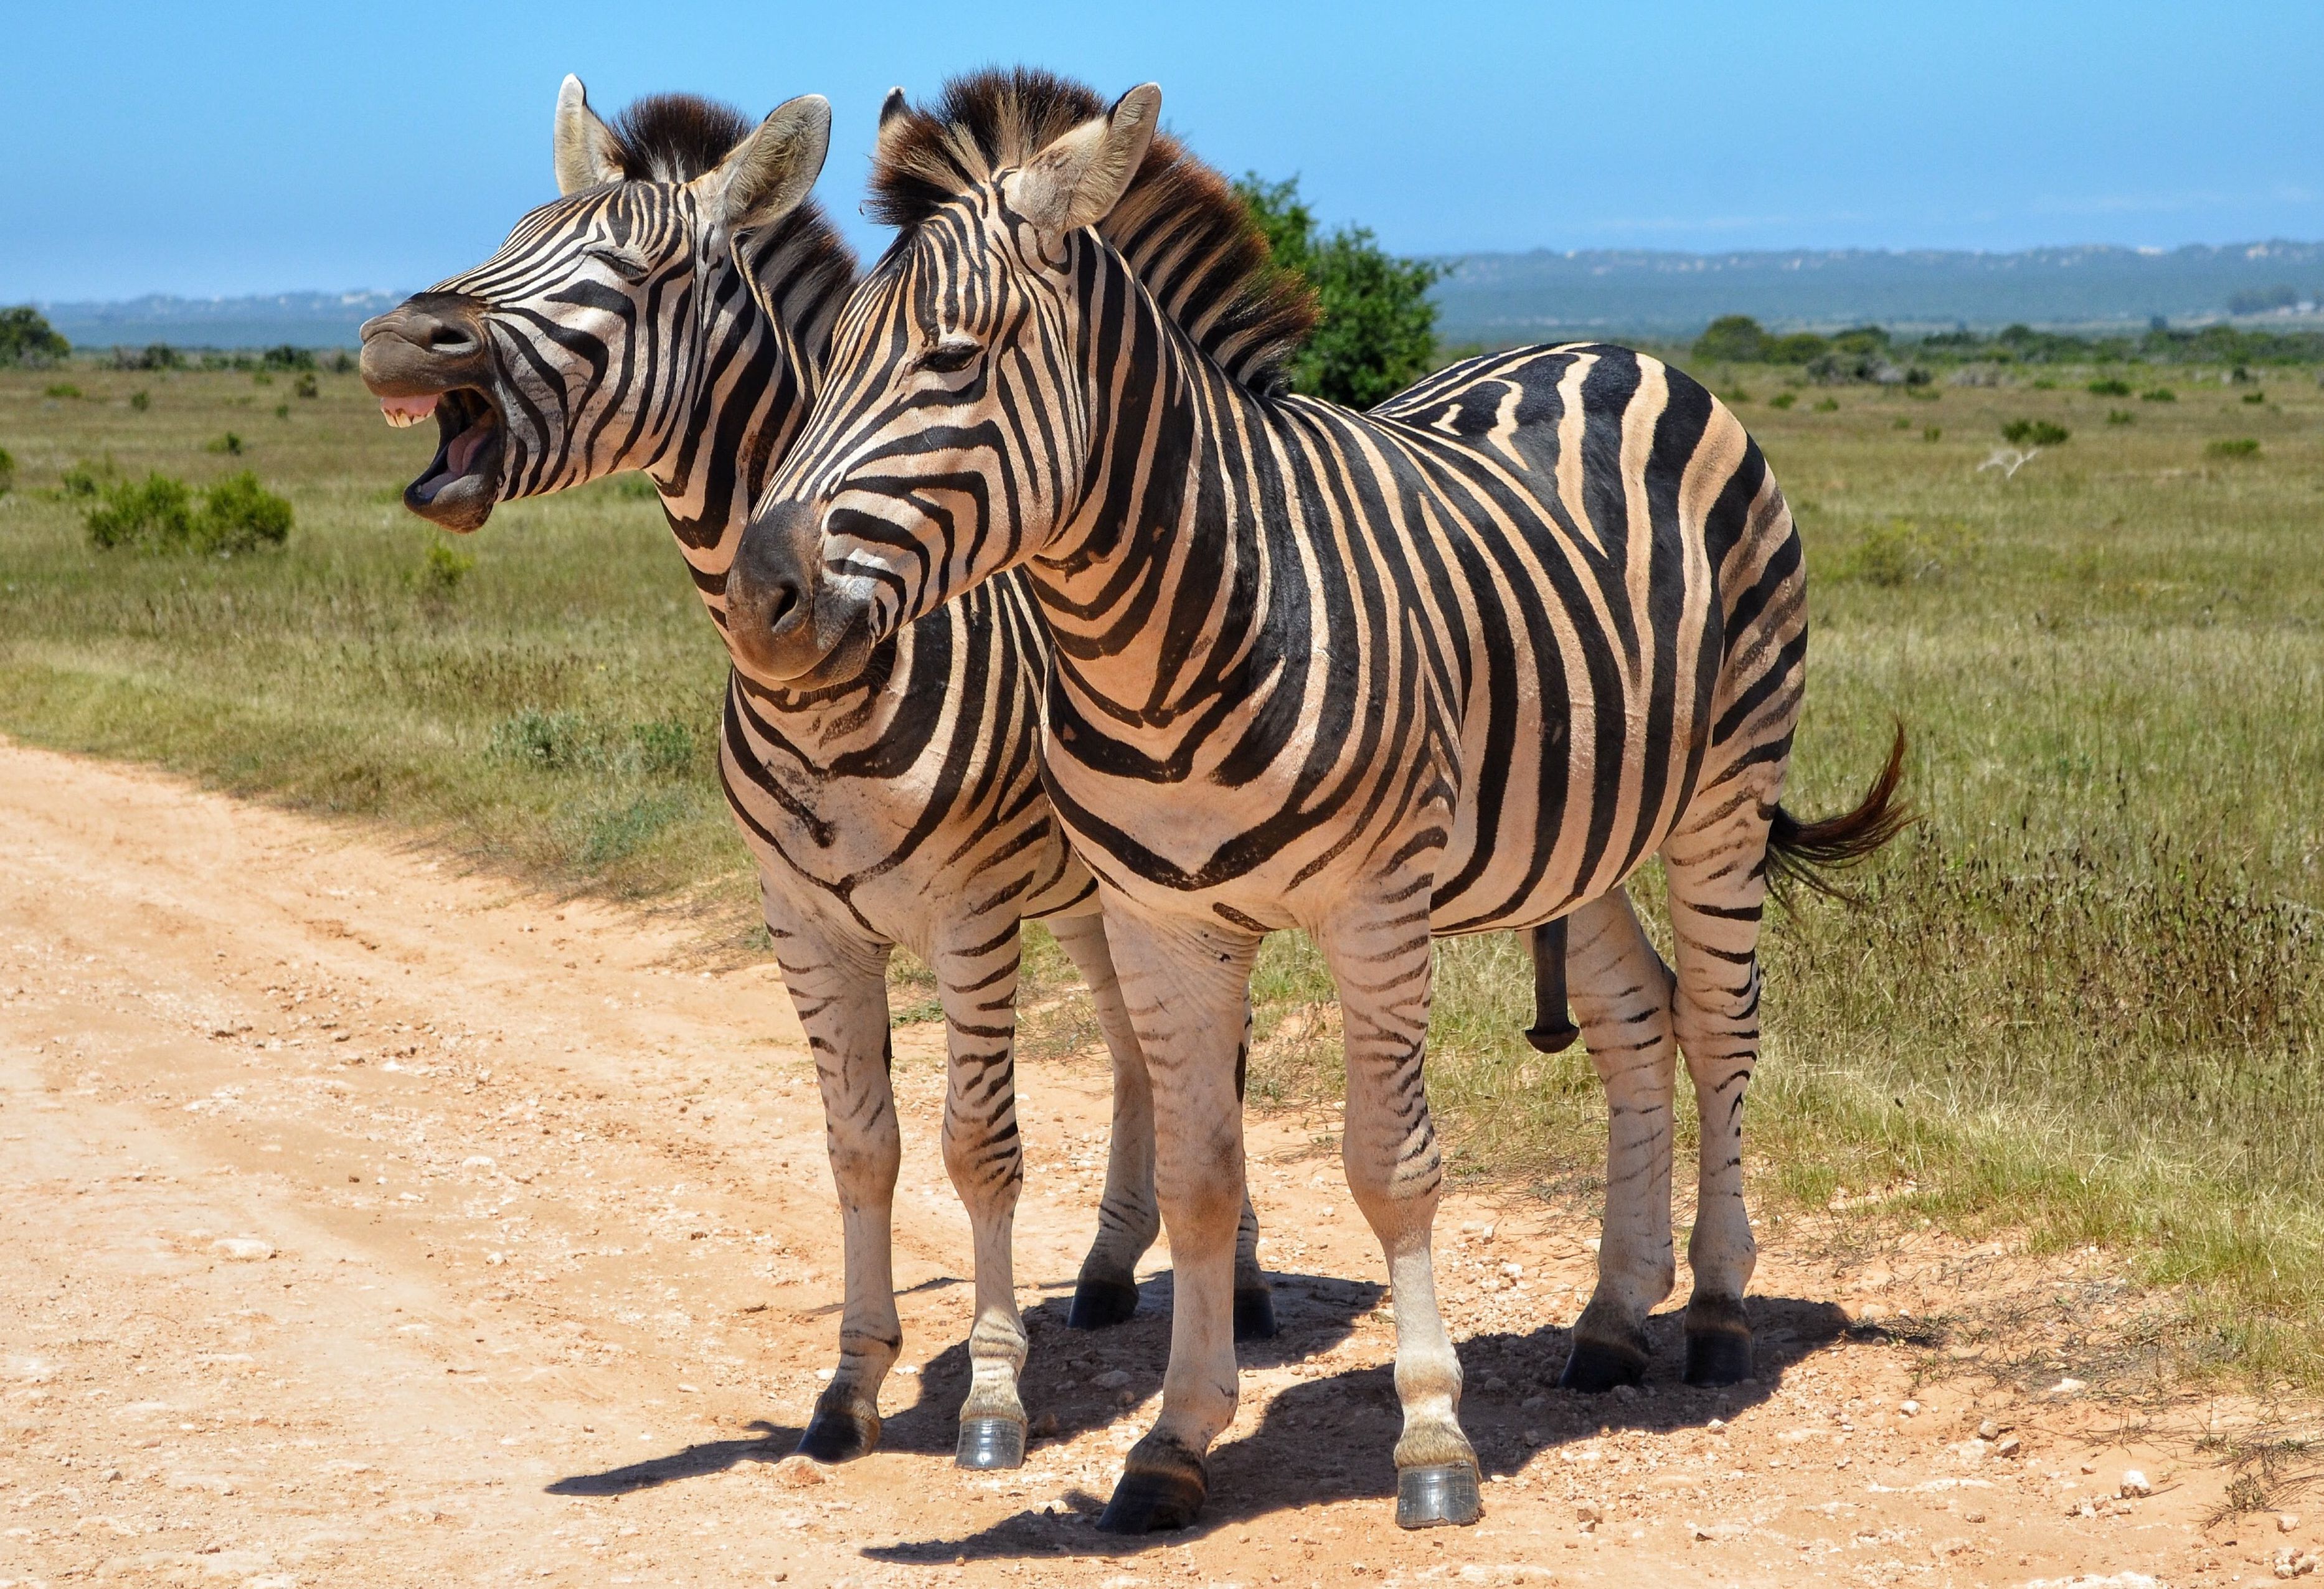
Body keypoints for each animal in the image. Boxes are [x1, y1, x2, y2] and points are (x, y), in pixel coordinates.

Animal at [354, 77, 1276, 1474]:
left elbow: (976, 1146)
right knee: (1134, 1051)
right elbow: (859, 1148)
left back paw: (1252, 1286)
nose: (403, 341)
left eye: (641, 273)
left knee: (1213, 1063)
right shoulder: (804, 920)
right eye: (511, 233)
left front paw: (992, 1397)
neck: (827, 683)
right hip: (1090, 893)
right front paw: (850, 1385)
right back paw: (1115, 1265)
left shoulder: (967, 915)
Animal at [723, 68, 1908, 1532]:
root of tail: (1618, 351)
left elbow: (1389, 1169)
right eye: (826, 360)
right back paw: (1612, 1317)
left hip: (1724, 796)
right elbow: (1200, 1179)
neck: (1166, 635)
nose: (759, 597)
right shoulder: (1165, 922)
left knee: (1725, 1028)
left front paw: (1434, 1442)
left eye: (954, 358)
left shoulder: (1376, 909)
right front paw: (1173, 1439)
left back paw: (1719, 1308)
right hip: (1576, 829)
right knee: (1641, 1024)